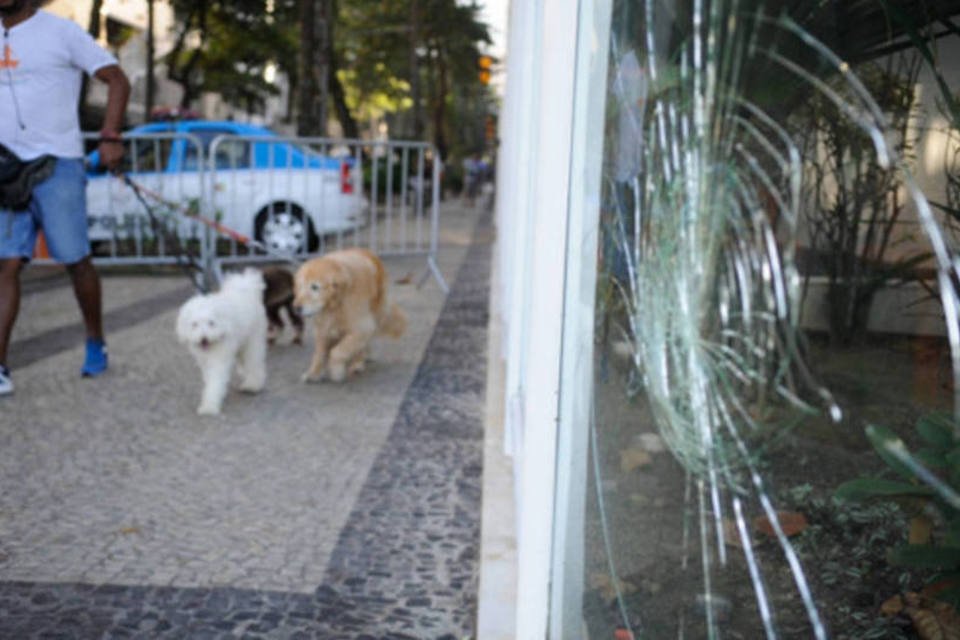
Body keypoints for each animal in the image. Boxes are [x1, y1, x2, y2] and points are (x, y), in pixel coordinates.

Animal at [174, 268, 266, 416]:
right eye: (194, 324)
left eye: (211, 323)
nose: (203, 339)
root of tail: (244, 286)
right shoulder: (204, 360)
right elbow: (210, 378)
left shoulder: (219, 357)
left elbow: (215, 380)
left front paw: (209, 406)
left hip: (252, 339)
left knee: (253, 361)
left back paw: (252, 385)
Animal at [296, 249, 408, 380]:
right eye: (300, 286)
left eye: (315, 287)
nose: (297, 308)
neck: (337, 302)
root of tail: (367, 252)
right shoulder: (323, 329)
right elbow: (319, 354)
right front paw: (313, 373)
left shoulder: (362, 327)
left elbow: (337, 352)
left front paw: (336, 370)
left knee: (362, 344)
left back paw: (357, 363)